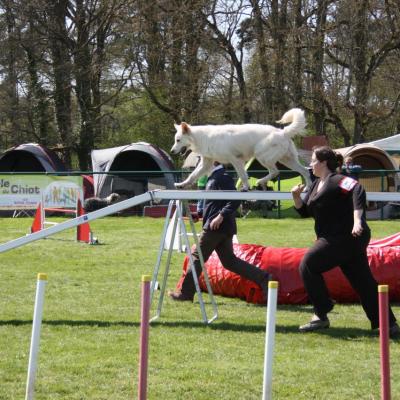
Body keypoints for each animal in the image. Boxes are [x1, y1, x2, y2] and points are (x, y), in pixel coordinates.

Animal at [170, 108, 310, 191]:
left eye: (178, 140)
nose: (171, 151)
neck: (203, 137)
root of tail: (283, 132)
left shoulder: (236, 160)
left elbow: (243, 176)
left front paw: (246, 187)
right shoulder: (206, 163)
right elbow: (192, 176)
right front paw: (181, 184)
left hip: (262, 157)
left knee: (275, 172)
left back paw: (260, 181)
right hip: (287, 161)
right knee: (305, 171)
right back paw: (307, 188)